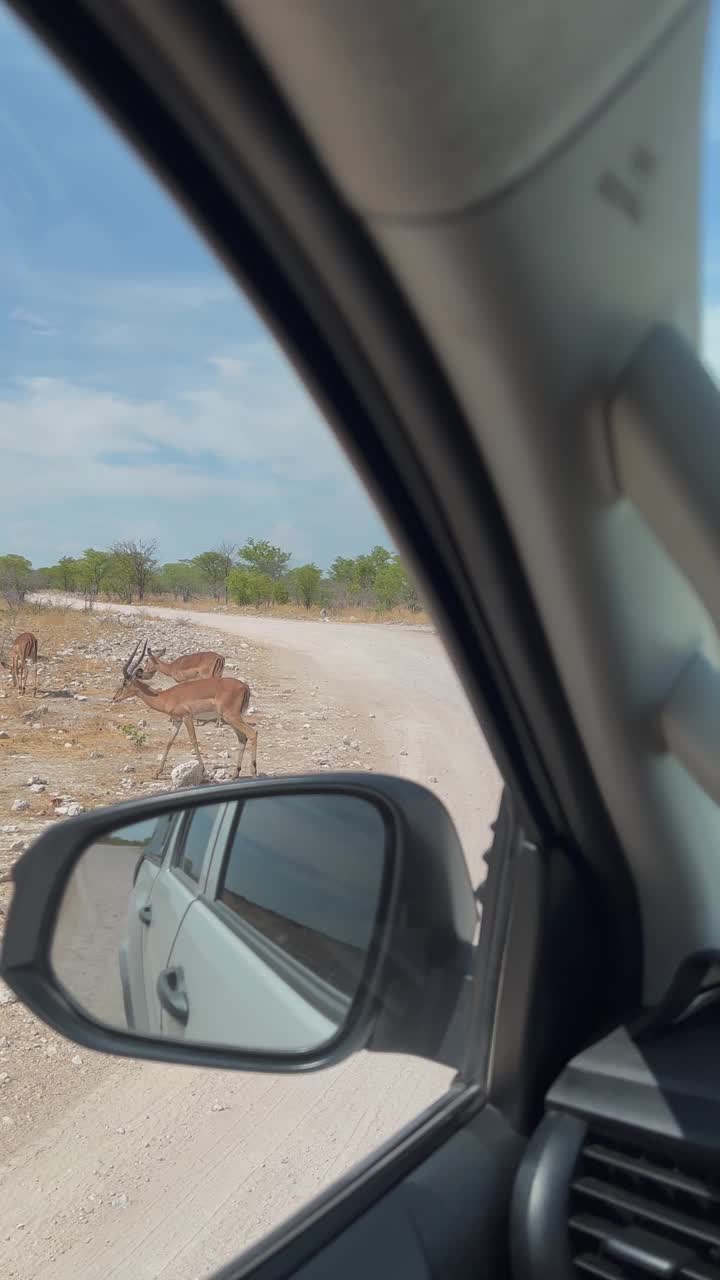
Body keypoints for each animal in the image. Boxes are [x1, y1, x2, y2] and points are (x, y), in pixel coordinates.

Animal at [110, 640, 256, 778]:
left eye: (125, 682)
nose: (114, 698)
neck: (166, 696)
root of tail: (245, 686)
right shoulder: (177, 720)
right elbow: (169, 741)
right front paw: (156, 773)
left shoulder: (187, 717)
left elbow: (193, 740)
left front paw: (203, 770)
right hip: (232, 719)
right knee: (242, 738)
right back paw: (235, 774)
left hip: (232, 717)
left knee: (253, 733)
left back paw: (253, 772)